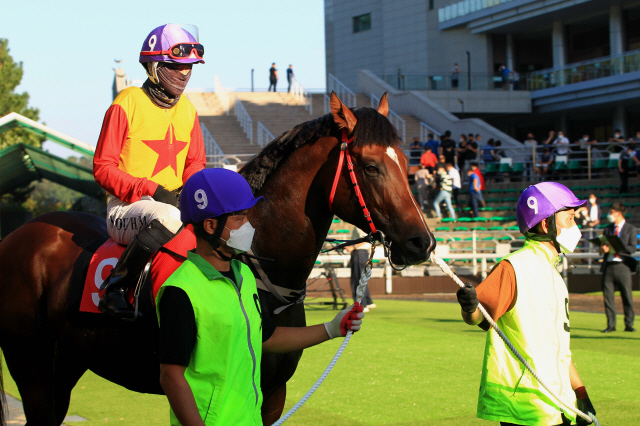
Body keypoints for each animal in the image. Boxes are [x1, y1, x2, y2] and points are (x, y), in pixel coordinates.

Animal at [0, 91, 436, 424]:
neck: (258, 262)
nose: (422, 243)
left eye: (405, 161)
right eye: (371, 166)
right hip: (32, 368)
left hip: (65, 366)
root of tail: (21, 232)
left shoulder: (272, 393)